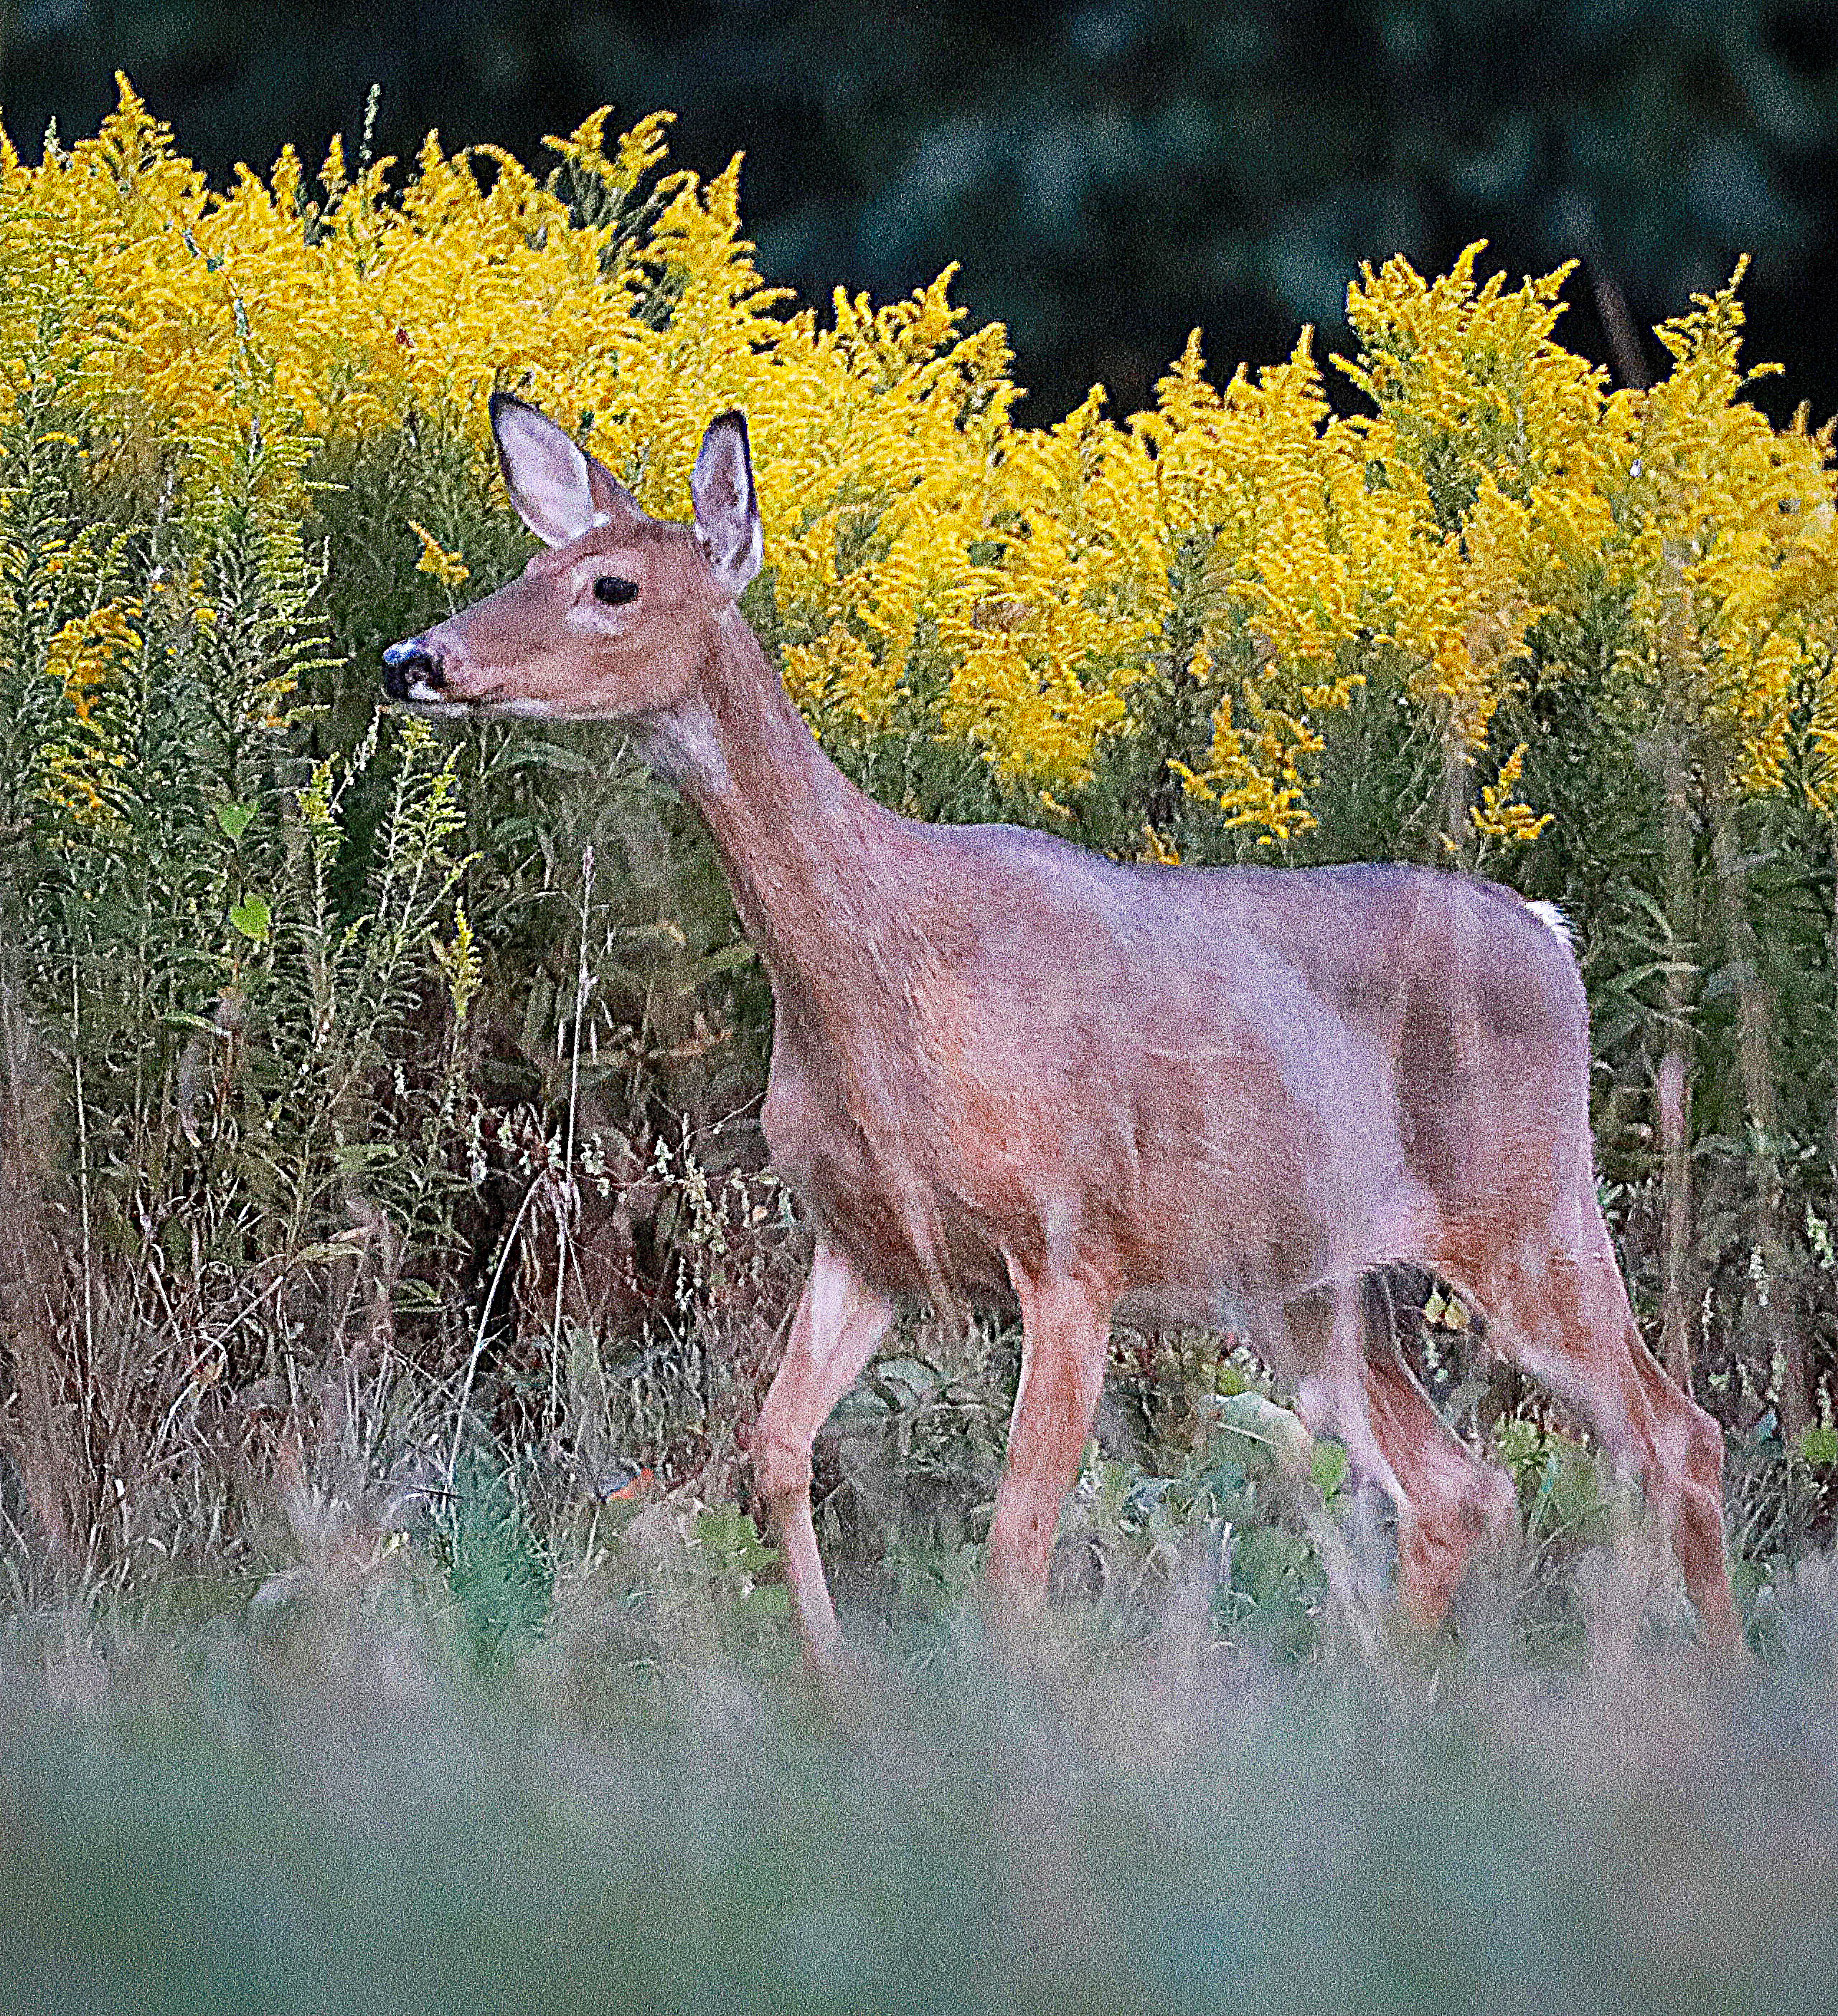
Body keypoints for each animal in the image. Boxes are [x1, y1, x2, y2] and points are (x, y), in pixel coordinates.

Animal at [383, 394, 1742, 1671]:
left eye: (610, 585)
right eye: (531, 561)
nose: (413, 656)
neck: (887, 988)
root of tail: (1547, 932)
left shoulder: (1073, 1244)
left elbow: (1016, 1537)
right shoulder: (862, 1238)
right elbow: (773, 1453)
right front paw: (835, 1690)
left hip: (1527, 1206)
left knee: (1678, 1435)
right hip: (1312, 1285)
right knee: (1460, 1487)